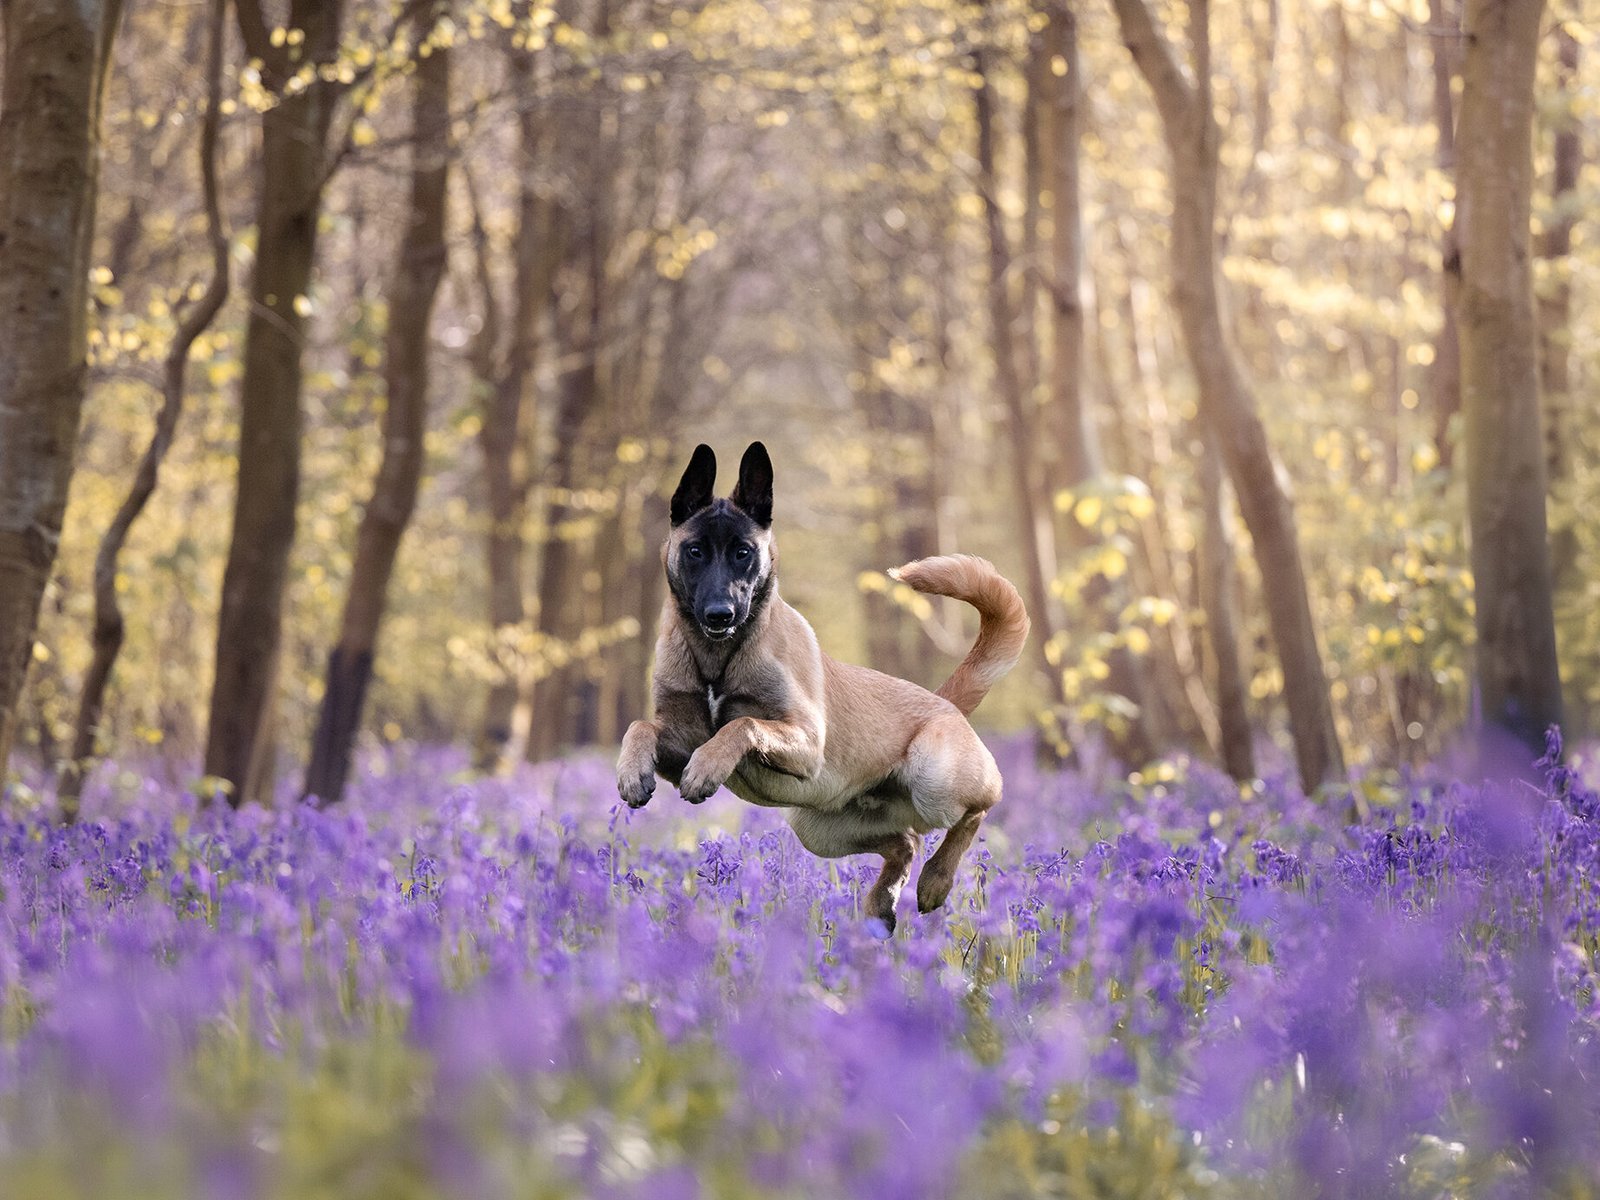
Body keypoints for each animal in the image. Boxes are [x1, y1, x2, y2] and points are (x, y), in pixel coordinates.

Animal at [617, 441, 1030, 928]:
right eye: (695, 551)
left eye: (743, 553)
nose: (721, 614)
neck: (719, 659)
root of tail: (941, 700)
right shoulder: (679, 743)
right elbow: (641, 727)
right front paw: (631, 774)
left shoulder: (805, 742)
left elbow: (741, 726)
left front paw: (707, 768)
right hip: (815, 828)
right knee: (905, 842)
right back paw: (882, 904)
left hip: (935, 782)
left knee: (980, 807)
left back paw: (936, 881)